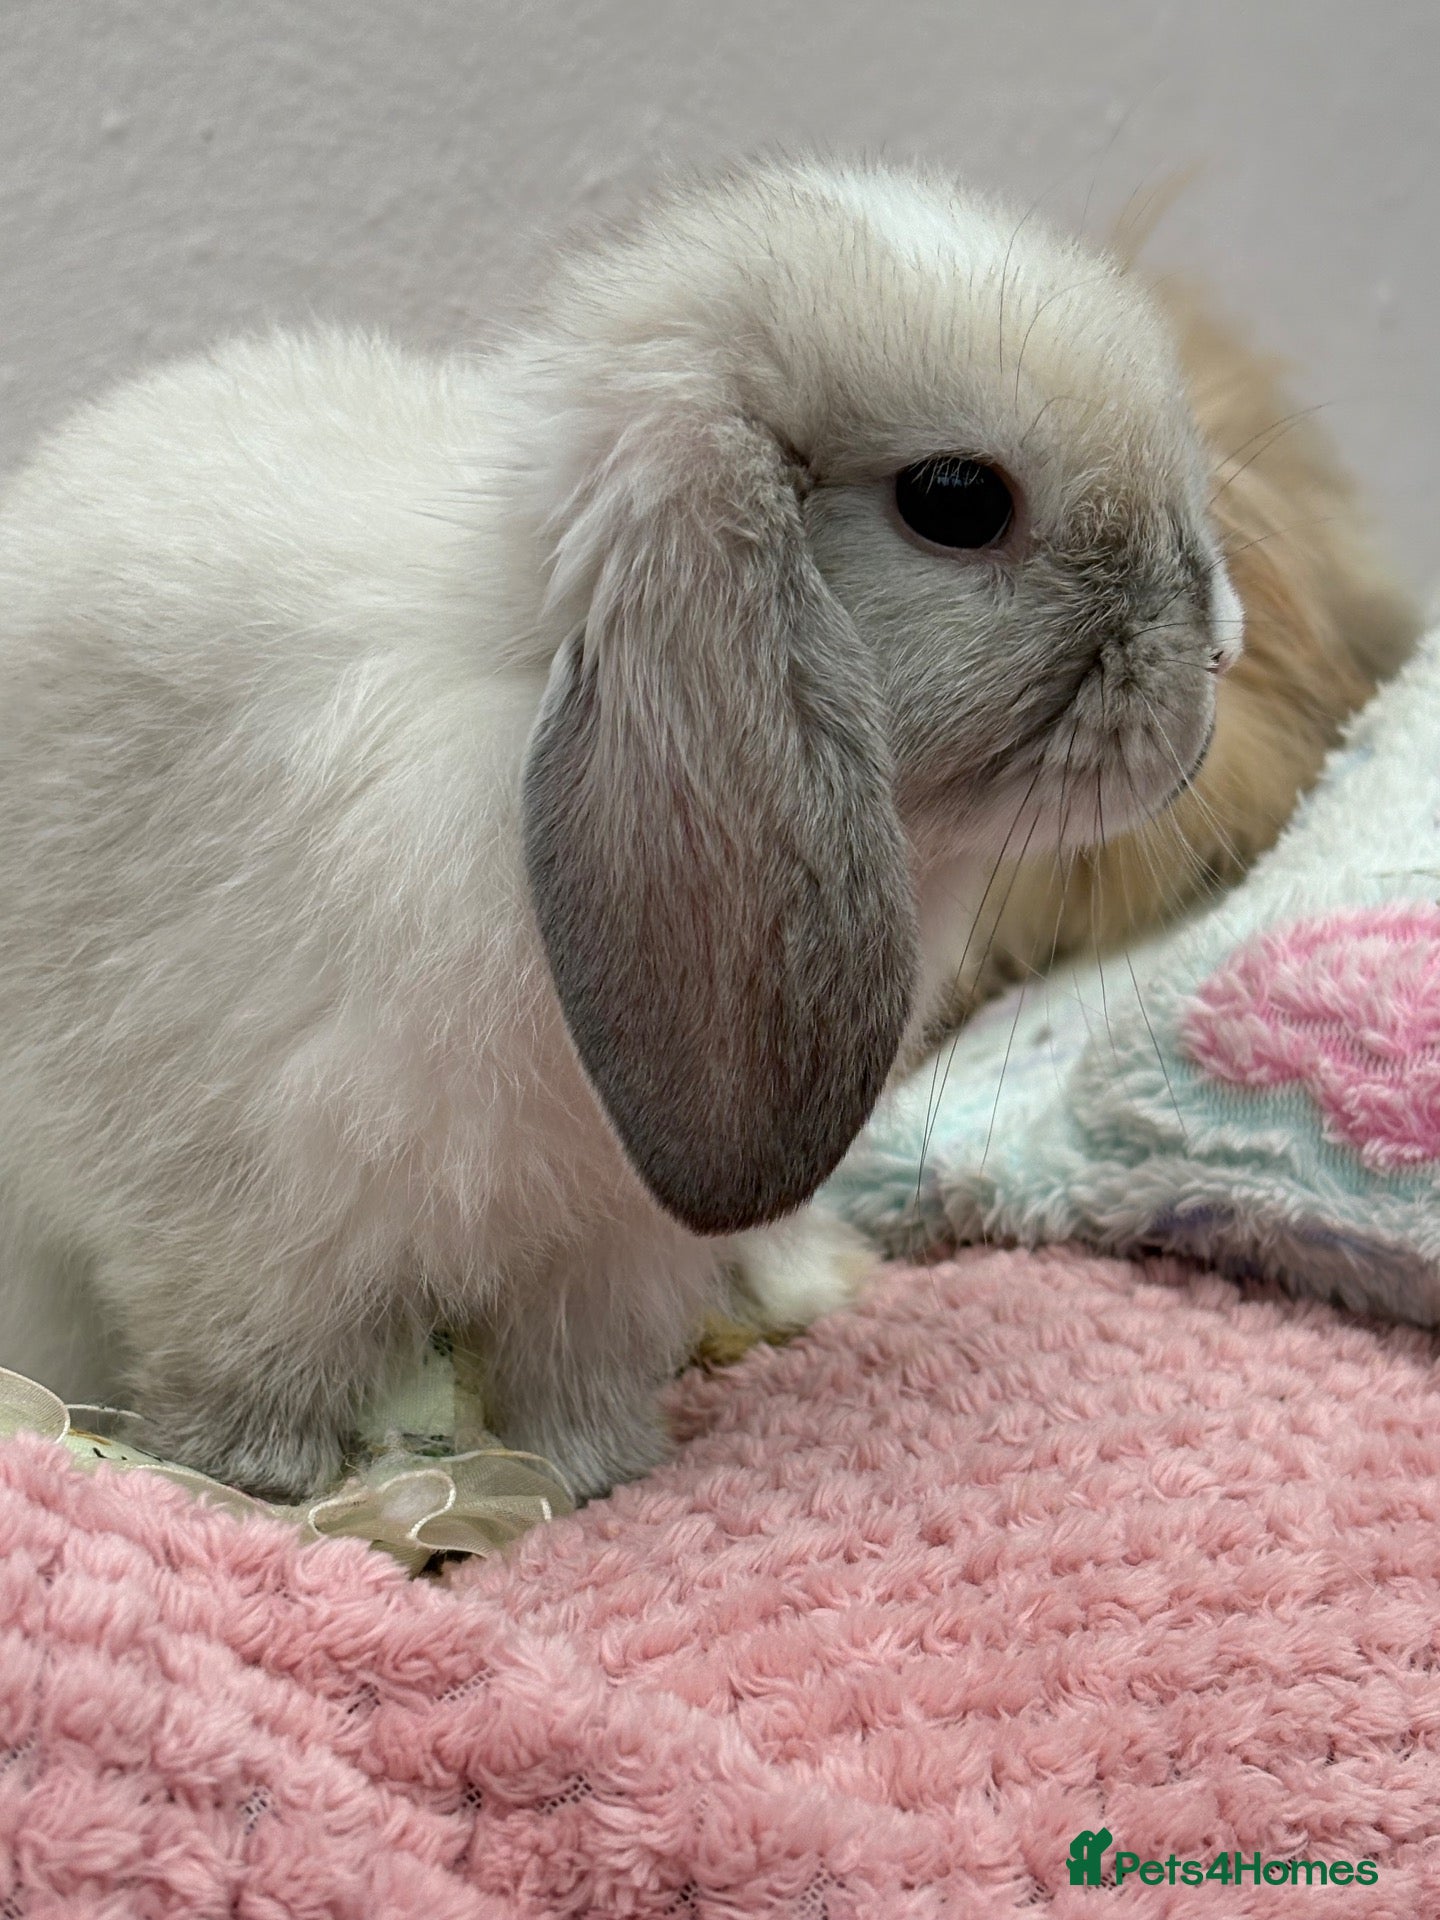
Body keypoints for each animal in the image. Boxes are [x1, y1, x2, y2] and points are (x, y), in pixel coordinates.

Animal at [0, 157, 1248, 1502]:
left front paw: (595, 1481)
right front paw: (270, 1487)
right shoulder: (257, 1209)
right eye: (956, 500)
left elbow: (573, 1377)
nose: (1219, 652)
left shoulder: (611, 1245)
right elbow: (252, 1367)